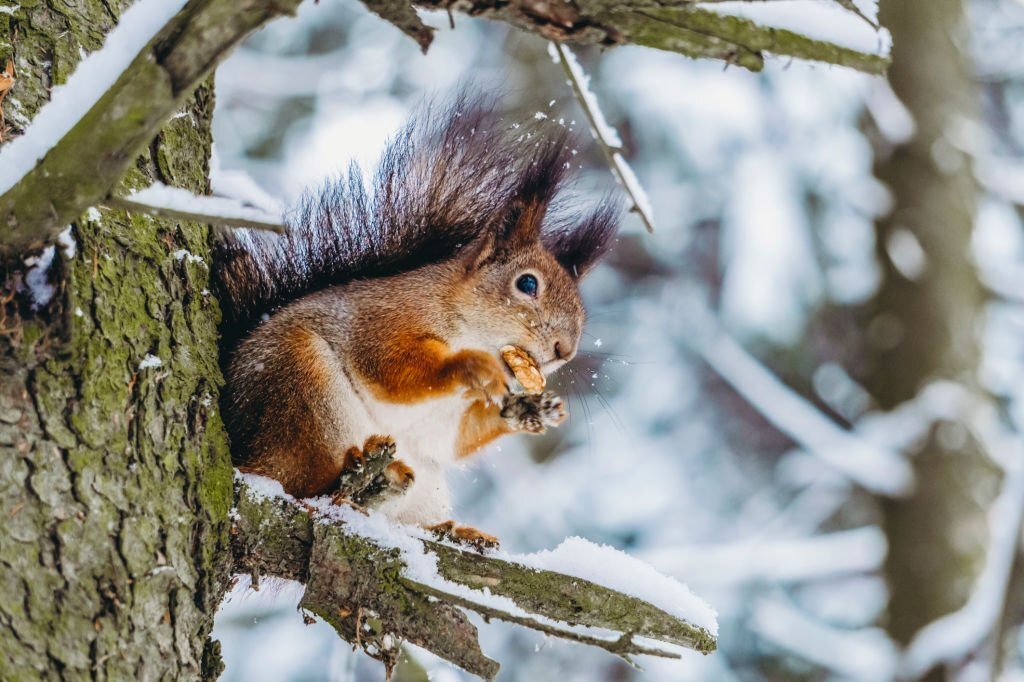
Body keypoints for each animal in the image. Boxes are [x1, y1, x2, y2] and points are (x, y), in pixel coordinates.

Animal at [209, 93, 614, 544]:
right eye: (527, 284)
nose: (565, 351)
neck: (463, 322)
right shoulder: (382, 321)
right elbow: (392, 369)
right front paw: (469, 365)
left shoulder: (447, 420)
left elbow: (457, 439)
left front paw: (529, 409)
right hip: (301, 390)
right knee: (297, 478)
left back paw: (453, 530)